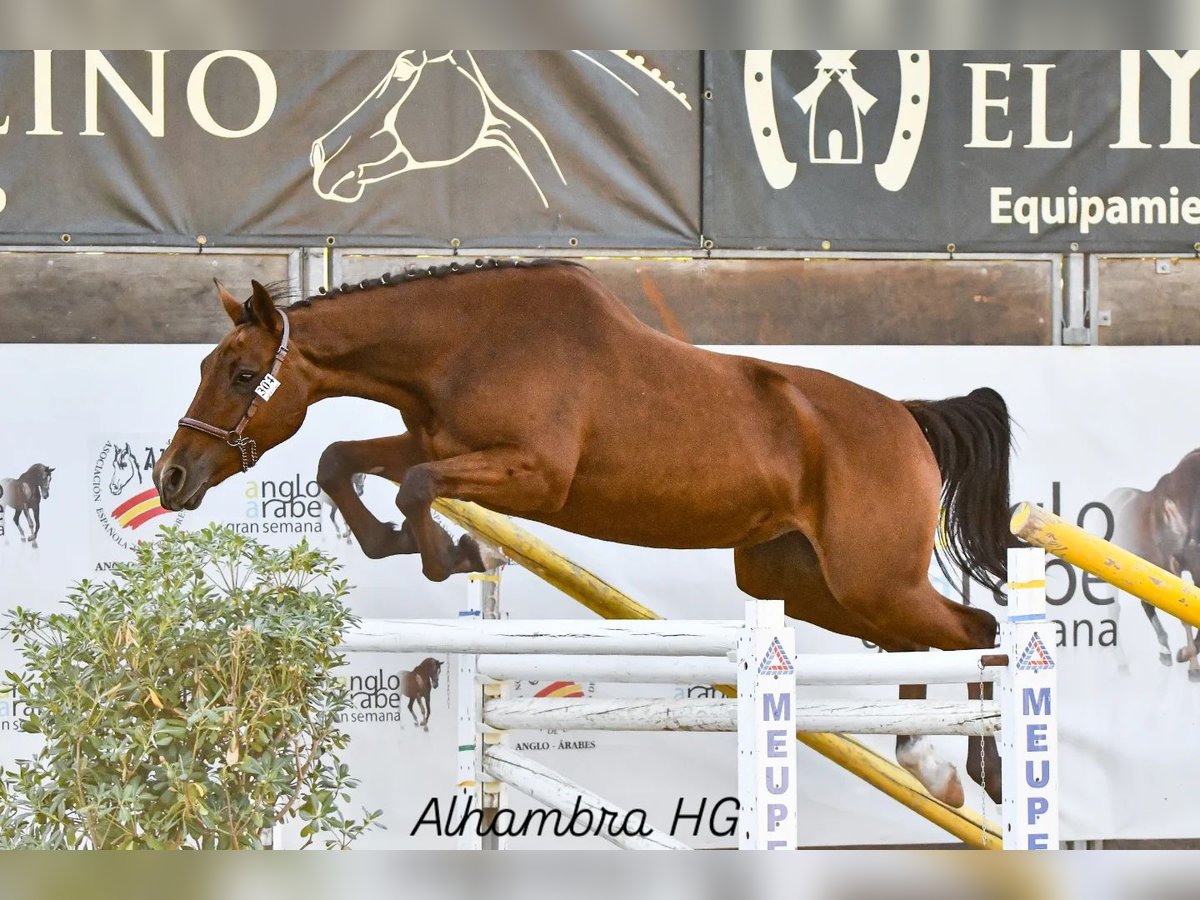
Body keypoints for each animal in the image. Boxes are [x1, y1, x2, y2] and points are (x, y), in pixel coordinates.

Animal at [154, 261, 1015, 808]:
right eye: (202, 367)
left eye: (241, 376)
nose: (172, 479)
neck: (465, 343)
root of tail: (907, 418)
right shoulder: (434, 439)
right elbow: (344, 461)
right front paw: (415, 545)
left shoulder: (534, 474)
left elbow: (416, 487)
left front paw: (453, 552)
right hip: (802, 582)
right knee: (922, 642)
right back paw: (924, 758)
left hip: (873, 579)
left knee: (980, 631)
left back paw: (982, 768)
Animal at [1108, 449, 1200, 680]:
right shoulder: (1173, 566)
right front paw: (1192, 666)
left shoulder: (1197, 568)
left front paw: (1183, 654)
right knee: (1114, 610)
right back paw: (1122, 663)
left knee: (1146, 605)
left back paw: (1165, 653)